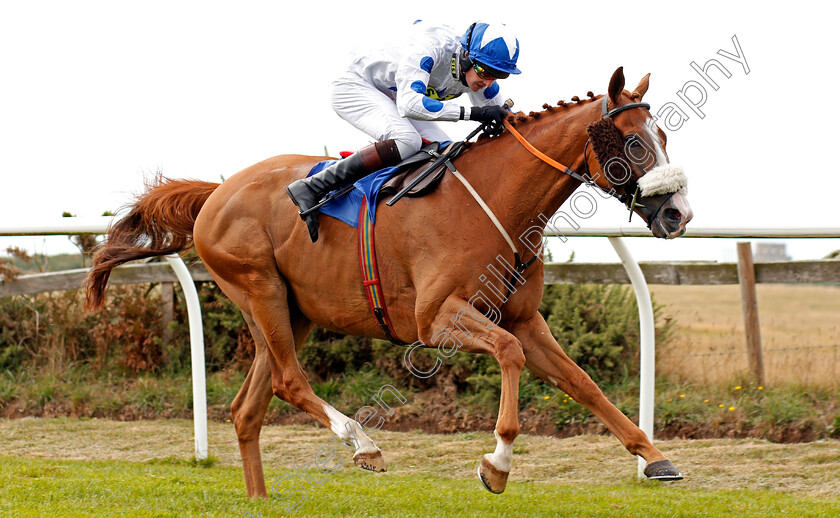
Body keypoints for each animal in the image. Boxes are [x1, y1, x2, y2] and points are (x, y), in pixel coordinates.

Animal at [85, 68, 692, 500]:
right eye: (634, 144)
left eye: (663, 134)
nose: (678, 215)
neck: (499, 201)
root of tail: (215, 192)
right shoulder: (437, 319)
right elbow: (510, 354)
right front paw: (496, 464)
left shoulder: (524, 317)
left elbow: (581, 382)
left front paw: (654, 457)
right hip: (259, 289)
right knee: (288, 382)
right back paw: (364, 444)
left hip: (288, 312)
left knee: (248, 407)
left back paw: (260, 497)